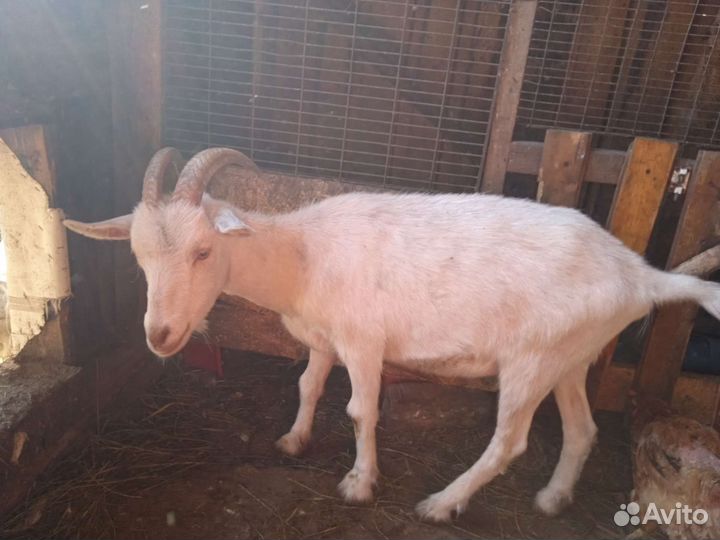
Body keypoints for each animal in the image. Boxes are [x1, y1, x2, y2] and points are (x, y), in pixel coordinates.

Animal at [63, 147, 720, 522]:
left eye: (203, 251)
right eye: (139, 258)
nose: (160, 335)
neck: (302, 255)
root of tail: (640, 275)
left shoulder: (362, 343)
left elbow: (360, 411)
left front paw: (359, 484)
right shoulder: (323, 339)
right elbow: (306, 386)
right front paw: (293, 440)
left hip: (532, 360)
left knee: (510, 442)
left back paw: (440, 504)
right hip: (572, 356)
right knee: (582, 431)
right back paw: (553, 500)